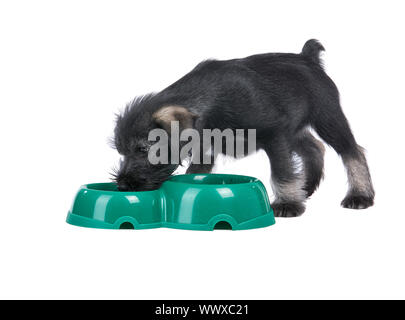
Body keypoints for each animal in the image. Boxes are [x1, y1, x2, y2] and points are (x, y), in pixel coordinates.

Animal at [112, 38, 374, 216]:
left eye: (144, 150)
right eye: (122, 152)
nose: (122, 185)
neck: (210, 101)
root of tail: (308, 58)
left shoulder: (274, 136)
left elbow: (282, 172)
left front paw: (287, 203)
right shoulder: (205, 151)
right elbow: (196, 174)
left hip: (327, 118)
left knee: (352, 152)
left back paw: (360, 195)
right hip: (295, 130)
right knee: (314, 148)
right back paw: (306, 187)